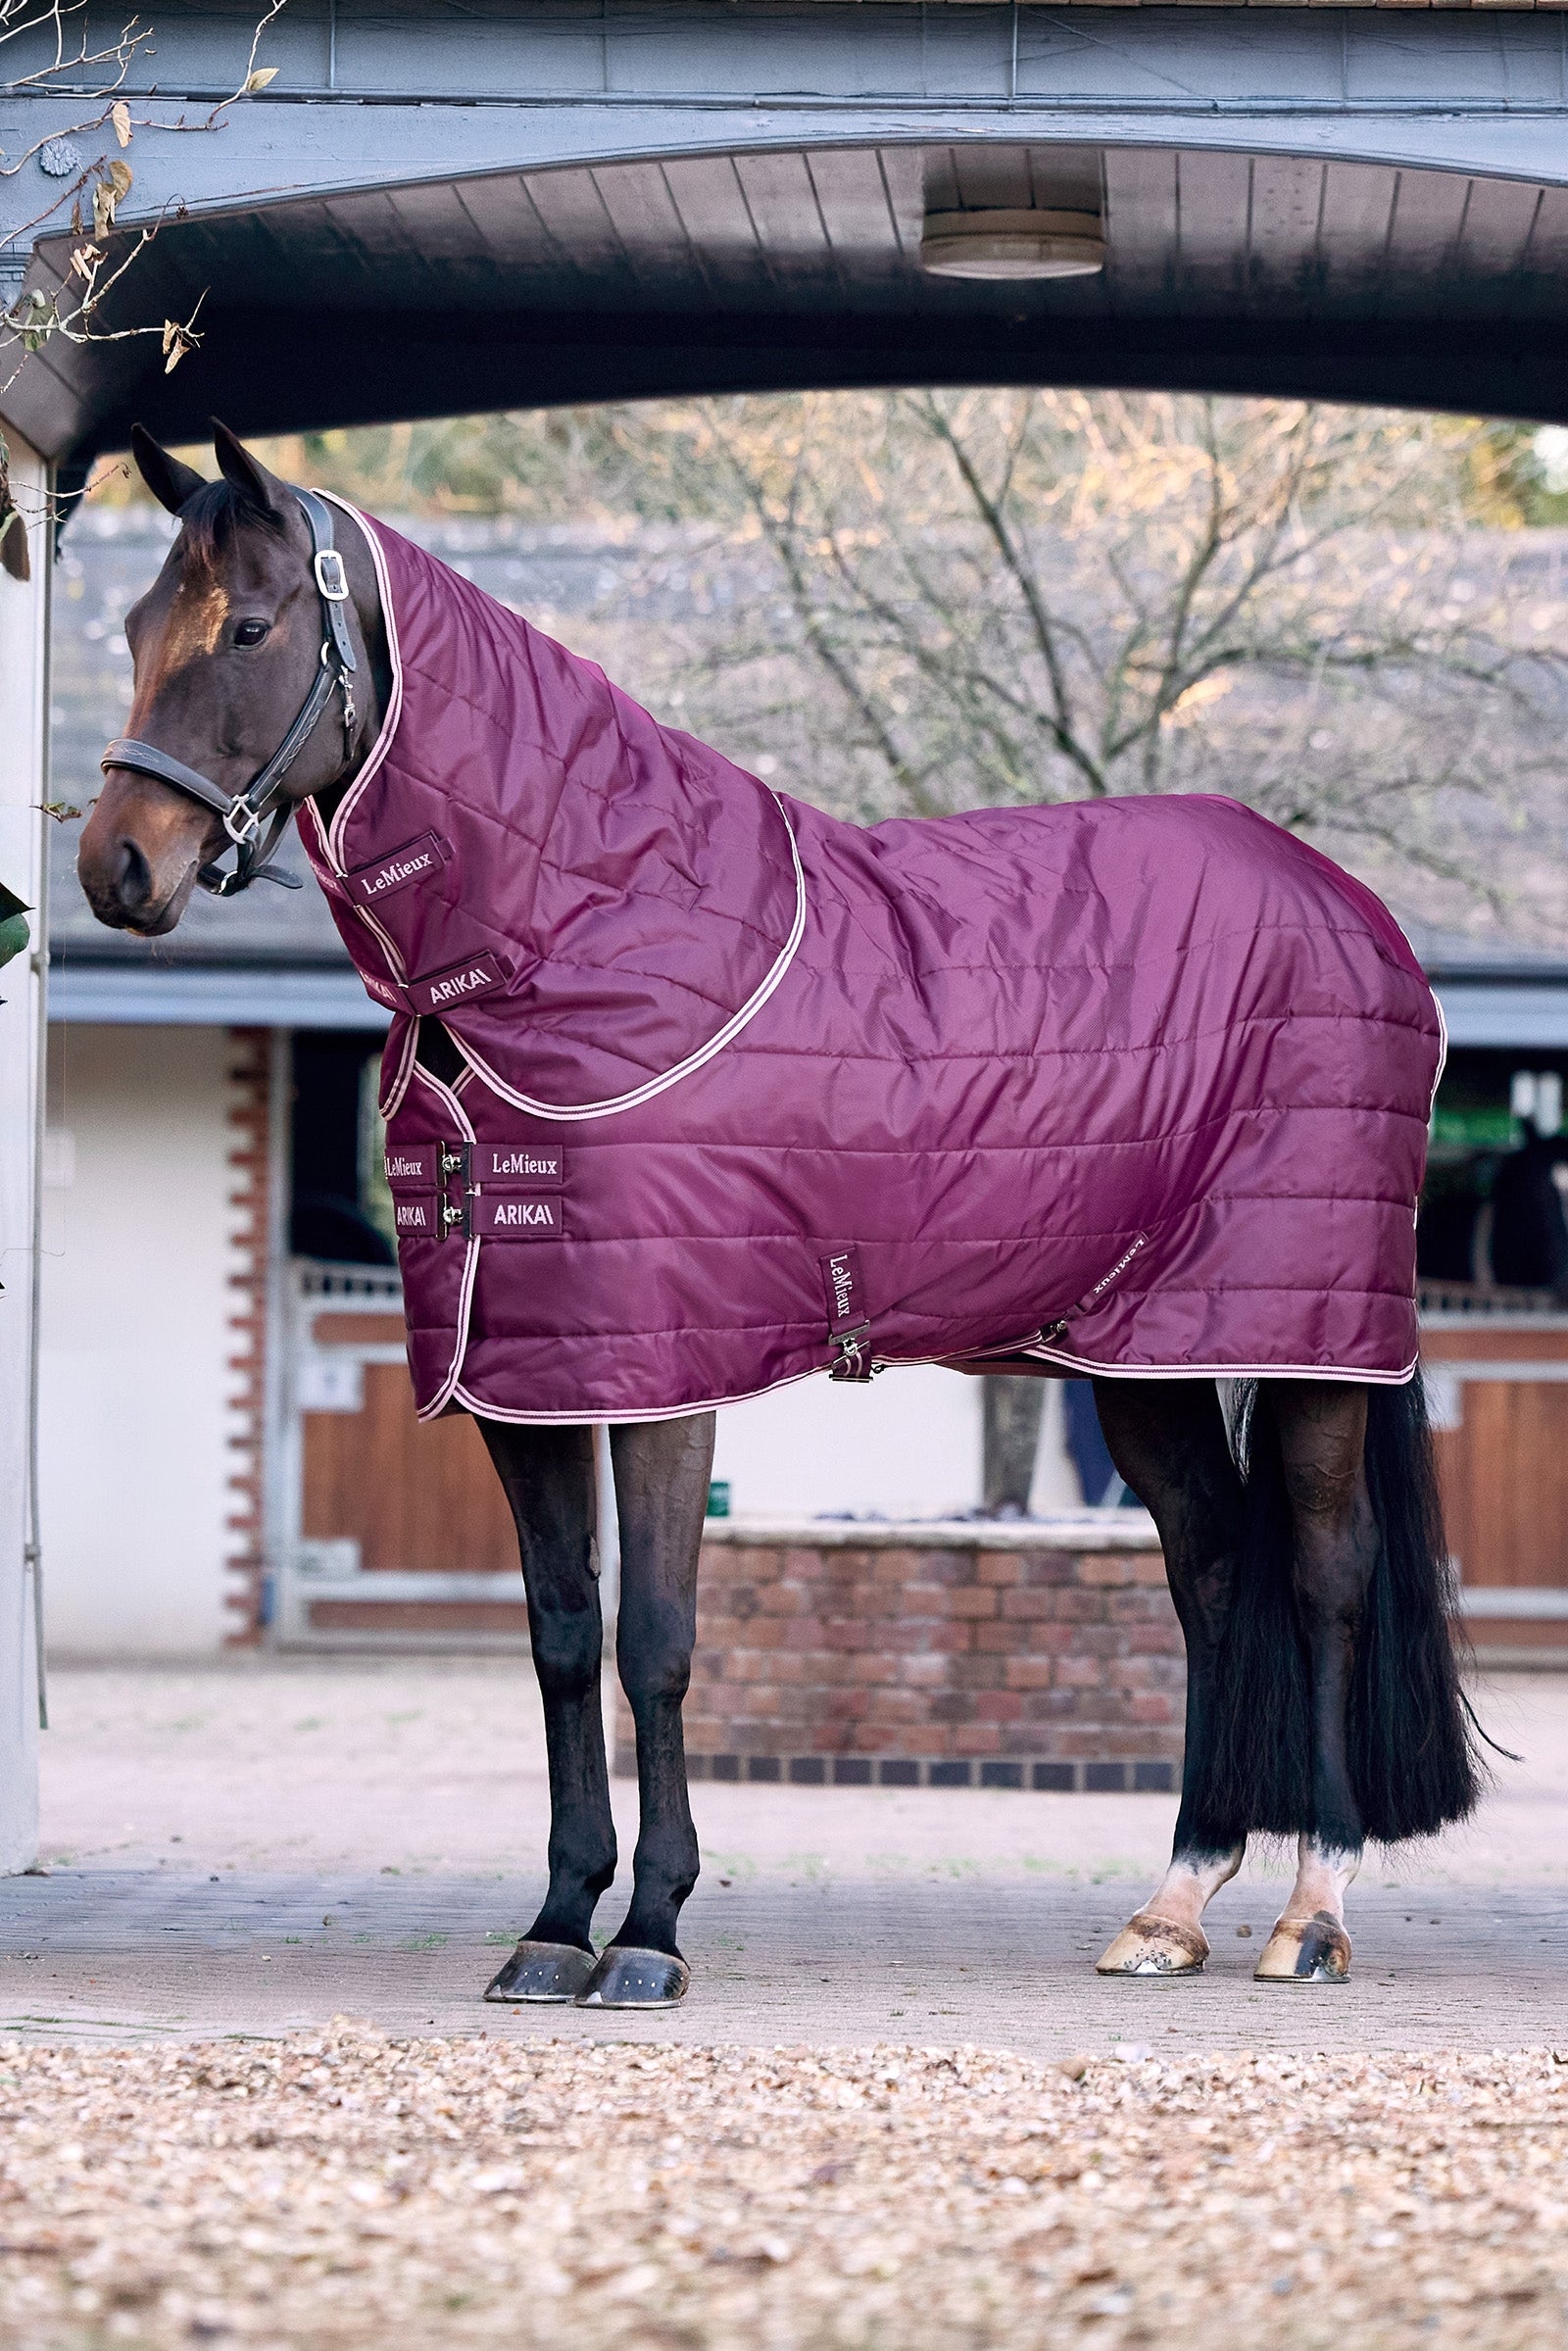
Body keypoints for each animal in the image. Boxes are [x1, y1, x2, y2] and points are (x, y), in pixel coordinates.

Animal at [78, 423, 1479, 2007]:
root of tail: (1352, 910)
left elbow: (657, 1640)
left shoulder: (665, 1369)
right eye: (134, 628)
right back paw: (1174, 1902)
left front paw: (651, 1932)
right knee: (1214, 1573)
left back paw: (1311, 1911)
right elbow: (563, 1639)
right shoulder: (527, 1375)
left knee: (1324, 1577)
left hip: (1306, 1339)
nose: (116, 866)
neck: (580, 929)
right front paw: (555, 1921)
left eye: (250, 627)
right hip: (1144, 1359)